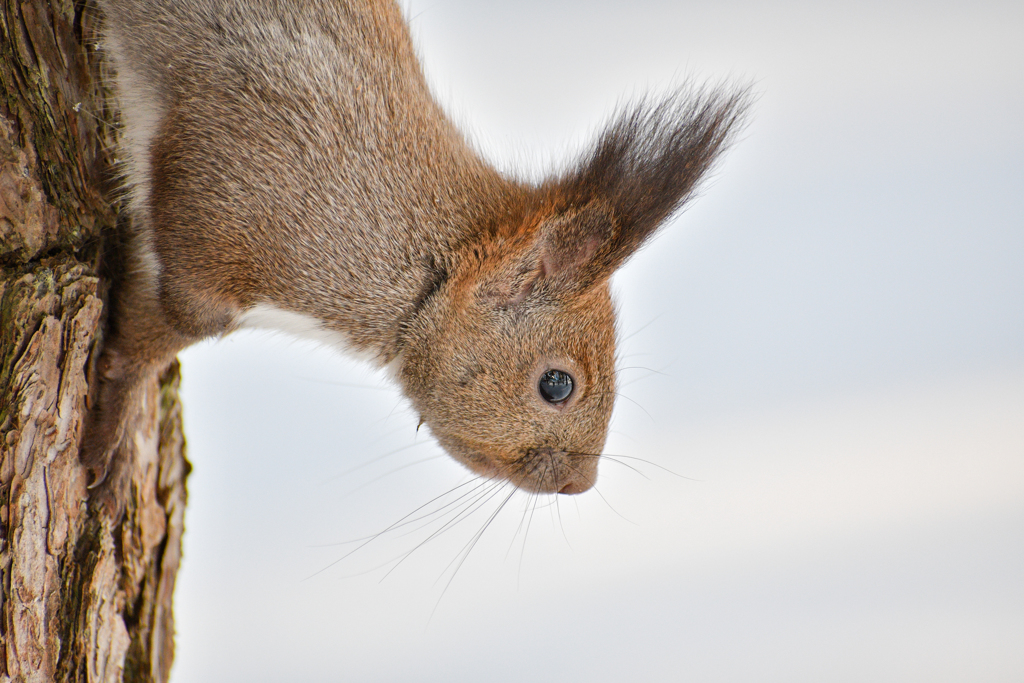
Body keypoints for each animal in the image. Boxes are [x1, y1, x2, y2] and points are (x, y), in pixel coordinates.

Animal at [83, 0, 749, 516]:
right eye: (556, 385)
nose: (579, 485)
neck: (426, 265)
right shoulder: (221, 230)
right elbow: (153, 336)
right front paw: (113, 438)